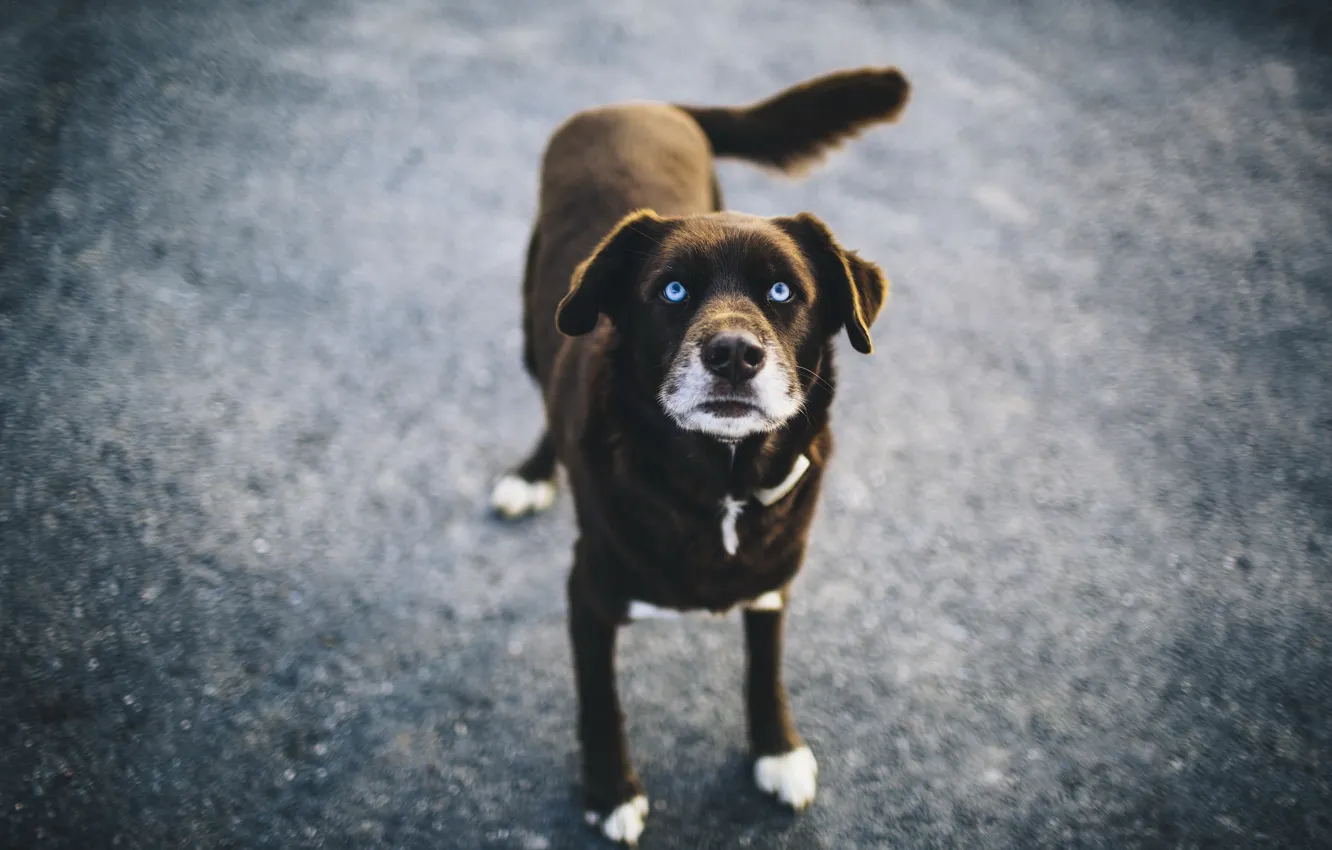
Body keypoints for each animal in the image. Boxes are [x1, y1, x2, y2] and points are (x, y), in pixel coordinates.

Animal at [492, 66, 916, 847]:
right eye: (673, 289)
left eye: (782, 290)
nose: (734, 354)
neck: (719, 481)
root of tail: (643, 102)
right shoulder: (589, 592)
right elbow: (601, 704)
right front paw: (611, 791)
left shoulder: (774, 580)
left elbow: (764, 668)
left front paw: (777, 750)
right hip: (537, 322)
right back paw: (532, 474)